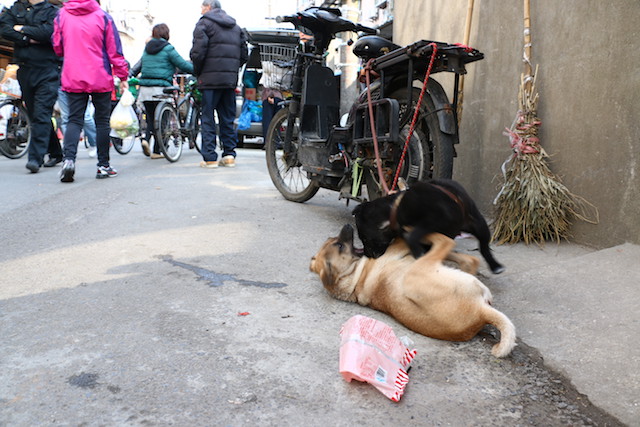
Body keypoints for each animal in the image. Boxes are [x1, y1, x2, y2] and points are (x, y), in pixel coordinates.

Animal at [310, 227, 516, 358]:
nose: (347, 225)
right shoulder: (398, 249)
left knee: (461, 256)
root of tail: (480, 314)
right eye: (339, 245)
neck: (354, 277)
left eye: (333, 240)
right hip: (416, 272)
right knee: (445, 241)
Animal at [350, 178, 504, 274]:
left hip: (478, 224)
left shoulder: (437, 218)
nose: (366, 254)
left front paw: (418, 253)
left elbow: (414, 234)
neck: (396, 208)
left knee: (484, 246)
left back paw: (495, 266)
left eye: (365, 239)